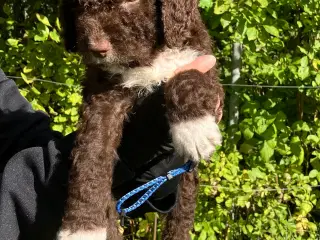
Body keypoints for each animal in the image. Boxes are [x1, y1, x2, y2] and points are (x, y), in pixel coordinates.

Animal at [57, 0, 224, 240]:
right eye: (78, 6)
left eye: (131, 2)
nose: (98, 48)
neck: (146, 59)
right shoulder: (103, 96)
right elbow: (92, 152)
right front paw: (81, 227)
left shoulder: (202, 61)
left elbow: (187, 77)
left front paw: (193, 127)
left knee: (182, 213)